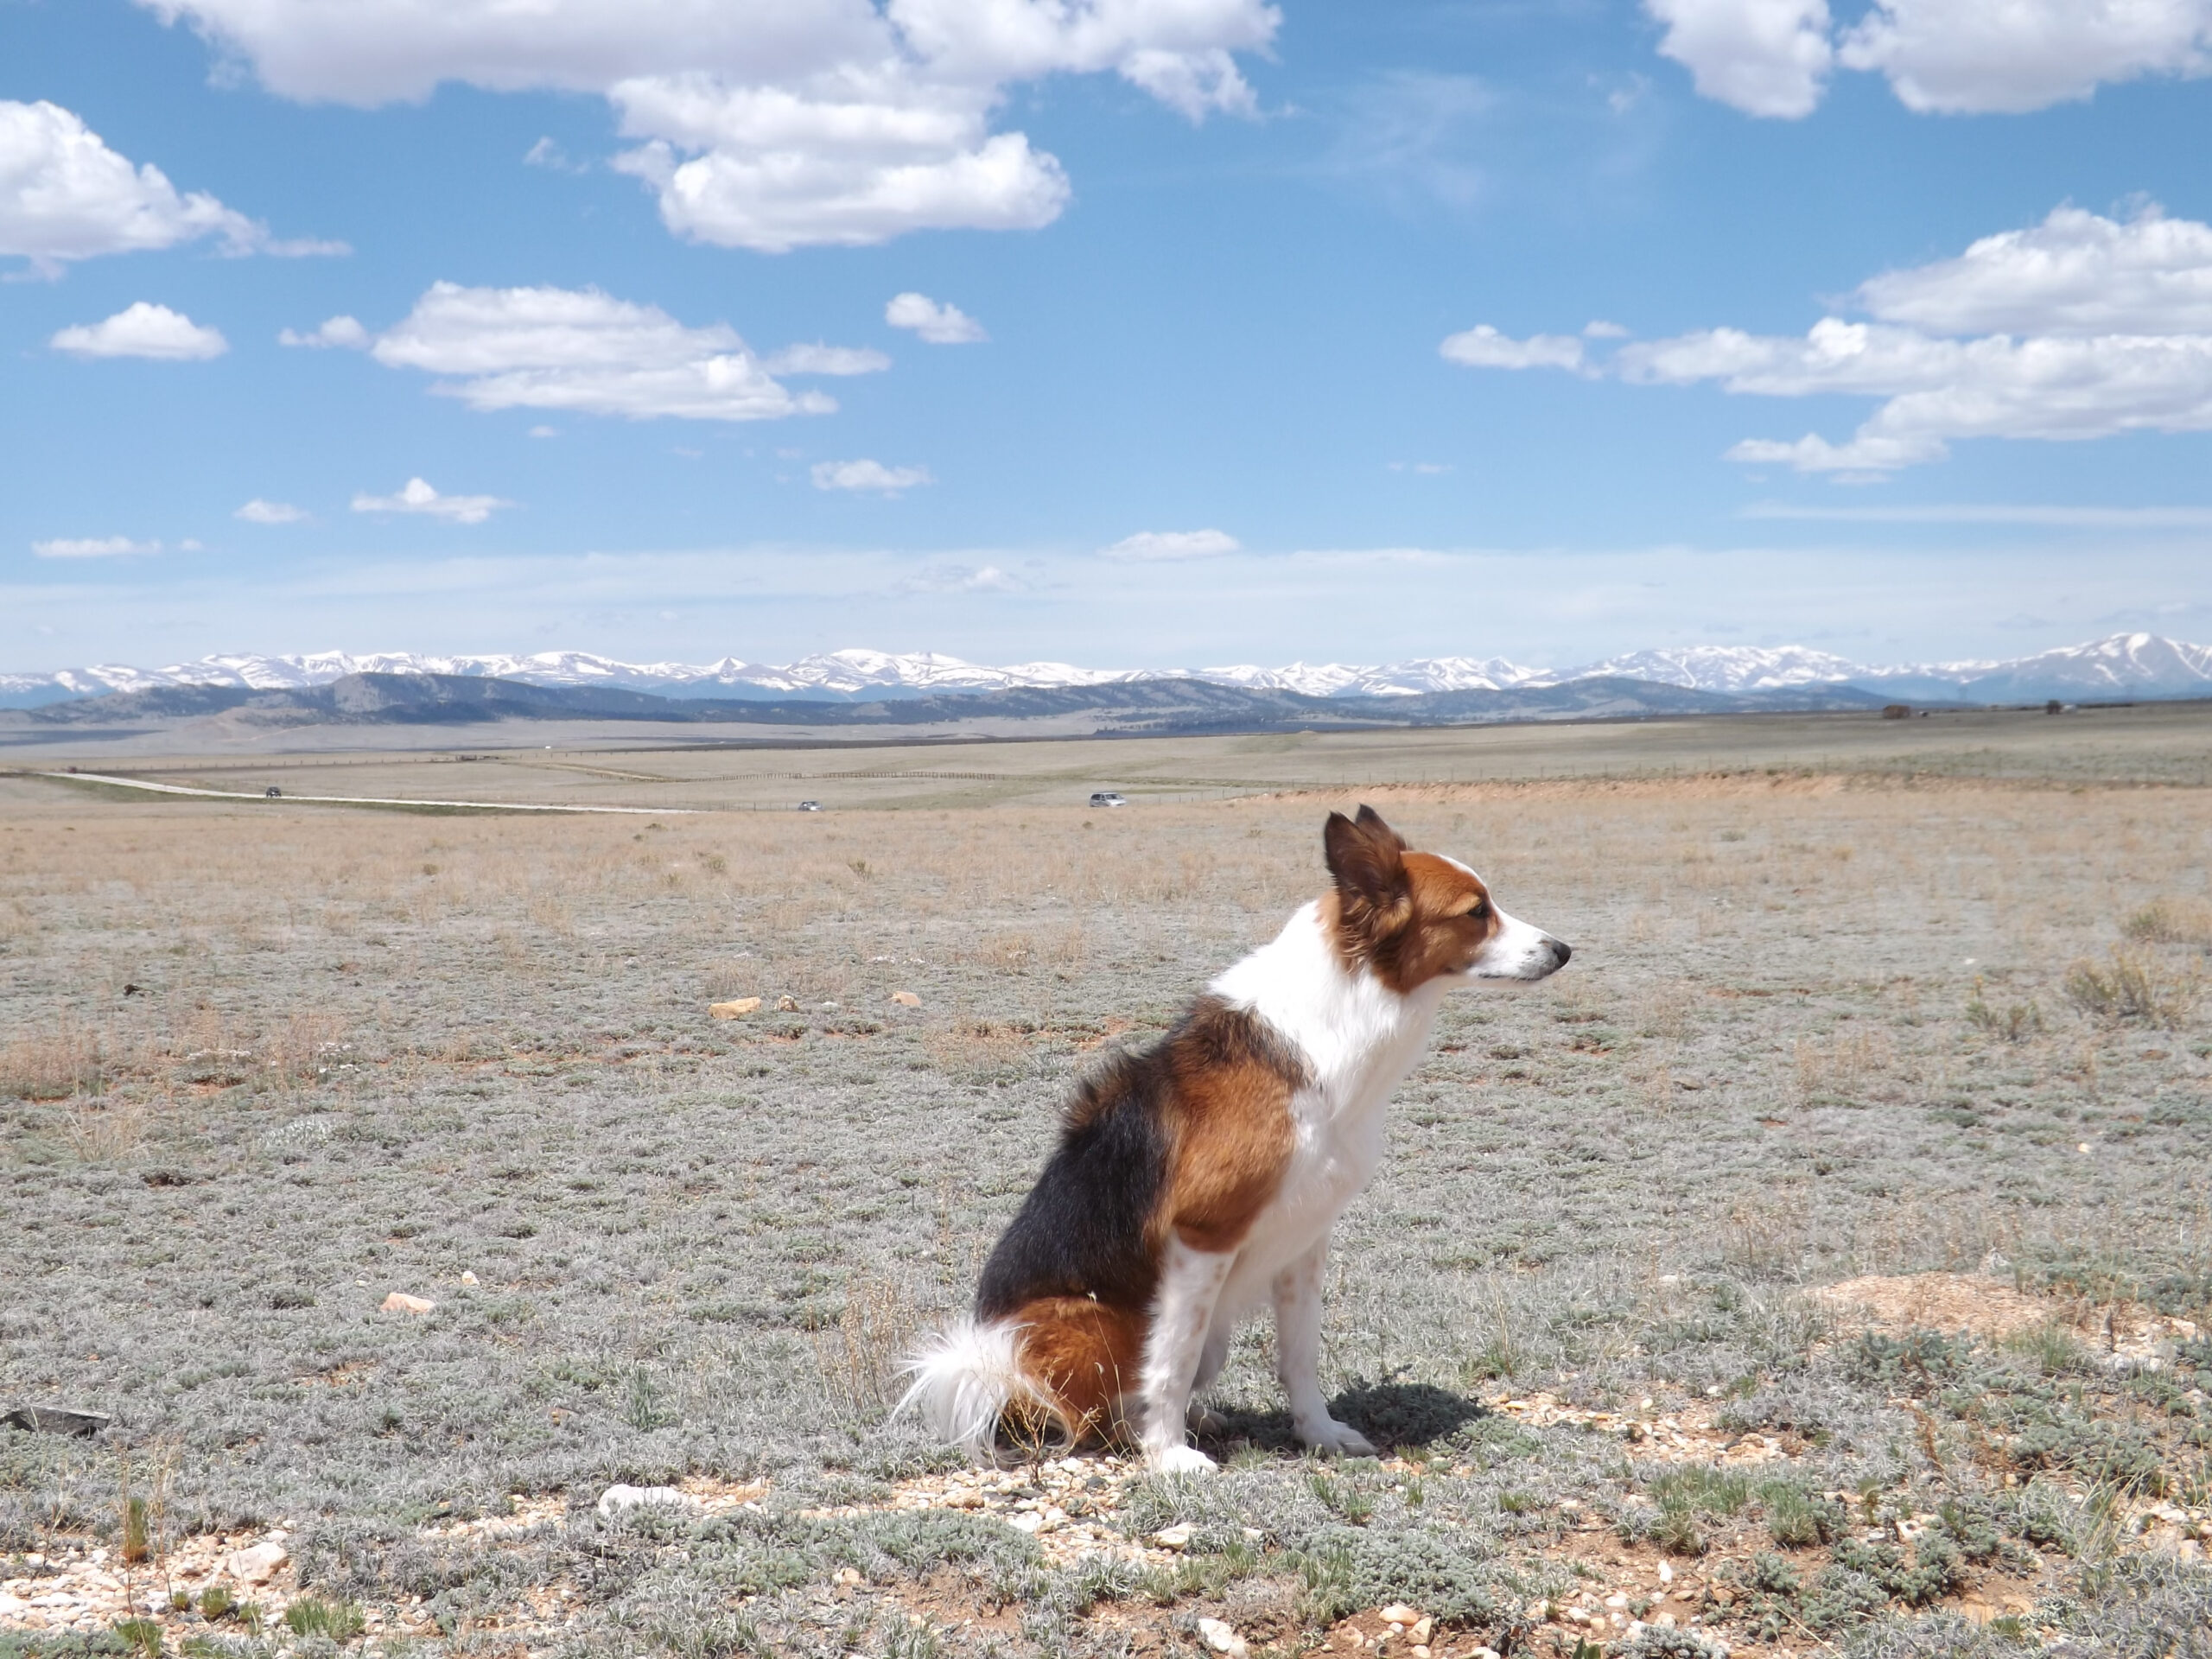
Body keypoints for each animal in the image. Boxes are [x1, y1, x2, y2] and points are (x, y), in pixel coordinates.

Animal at [898, 814, 1574, 1478]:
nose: (1564, 950)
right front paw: (1169, 1455)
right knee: (1087, 1415)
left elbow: (1299, 1354)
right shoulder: (1203, 1236)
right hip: (1097, 1325)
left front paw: (1319, 1433)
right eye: (1476, 911)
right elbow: (1170, 1362)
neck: (1336, 1020)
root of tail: (993, 1368)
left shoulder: (1306, 1236)